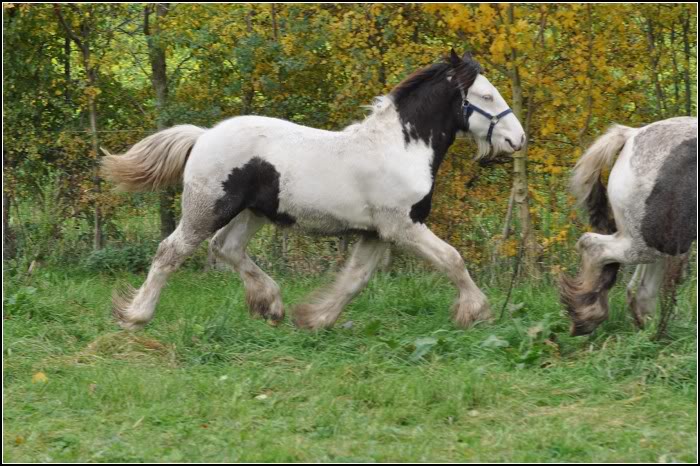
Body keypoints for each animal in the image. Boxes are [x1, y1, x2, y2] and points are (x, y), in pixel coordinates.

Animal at [101, 51, 524, 332]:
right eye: (486, 96)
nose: (517, 139)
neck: (401, 148)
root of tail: (204, 135)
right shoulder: (403, 227)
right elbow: (453, 260)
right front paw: (476, 312)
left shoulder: (376, 233)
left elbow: (355, 279)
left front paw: (315, 318)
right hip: (207, 210)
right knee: (171, 252)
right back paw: (137, 316)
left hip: (253, 213)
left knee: (227, 248)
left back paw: (271, 305)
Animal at [560, 116, 696, 334]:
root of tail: (631, 135)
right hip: (654, 242)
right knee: (593, 247)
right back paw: (588, 315)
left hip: (660, 242)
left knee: (641, 293)